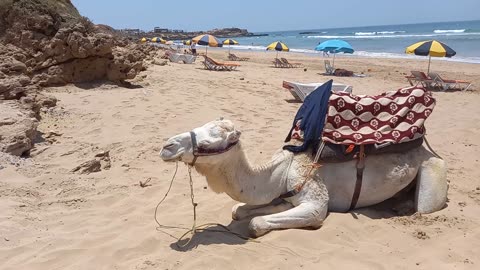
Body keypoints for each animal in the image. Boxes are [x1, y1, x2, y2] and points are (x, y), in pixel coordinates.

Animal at [159, 119, 448, 237]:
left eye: (207, 143)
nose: (166, 146)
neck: (280, 170)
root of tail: (428, 149)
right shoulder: (282, 193)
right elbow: (238, 210)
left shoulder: (315, 200)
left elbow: (255, 223)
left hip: (433, 168)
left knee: (425, 206)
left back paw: (406, 208)